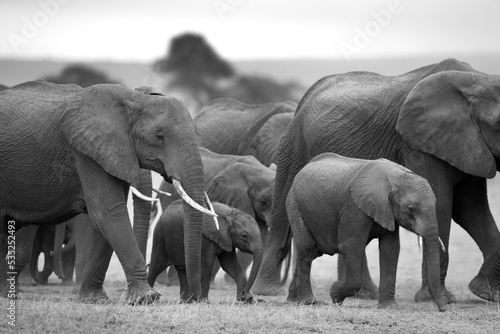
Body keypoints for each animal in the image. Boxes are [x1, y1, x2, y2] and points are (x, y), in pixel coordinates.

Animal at [0, 80, 215, 302]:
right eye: (160, 137)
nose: (195, 299)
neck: (134, 100)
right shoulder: (86, 151)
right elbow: (109, 213)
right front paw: (146, 298)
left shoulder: (111, 153)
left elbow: (105, 218)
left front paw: (94, 299)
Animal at [288, 153, 448, 312]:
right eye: (411, 209)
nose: (442, 309)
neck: (394, 177)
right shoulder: (354, 208)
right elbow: (351, 247)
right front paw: (335, 294)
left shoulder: (387, 211)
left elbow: (390, 249)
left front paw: (388, 307)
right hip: (295, 205)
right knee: (307, 249)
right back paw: (308, 302)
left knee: (310, 252)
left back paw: (295, 299)